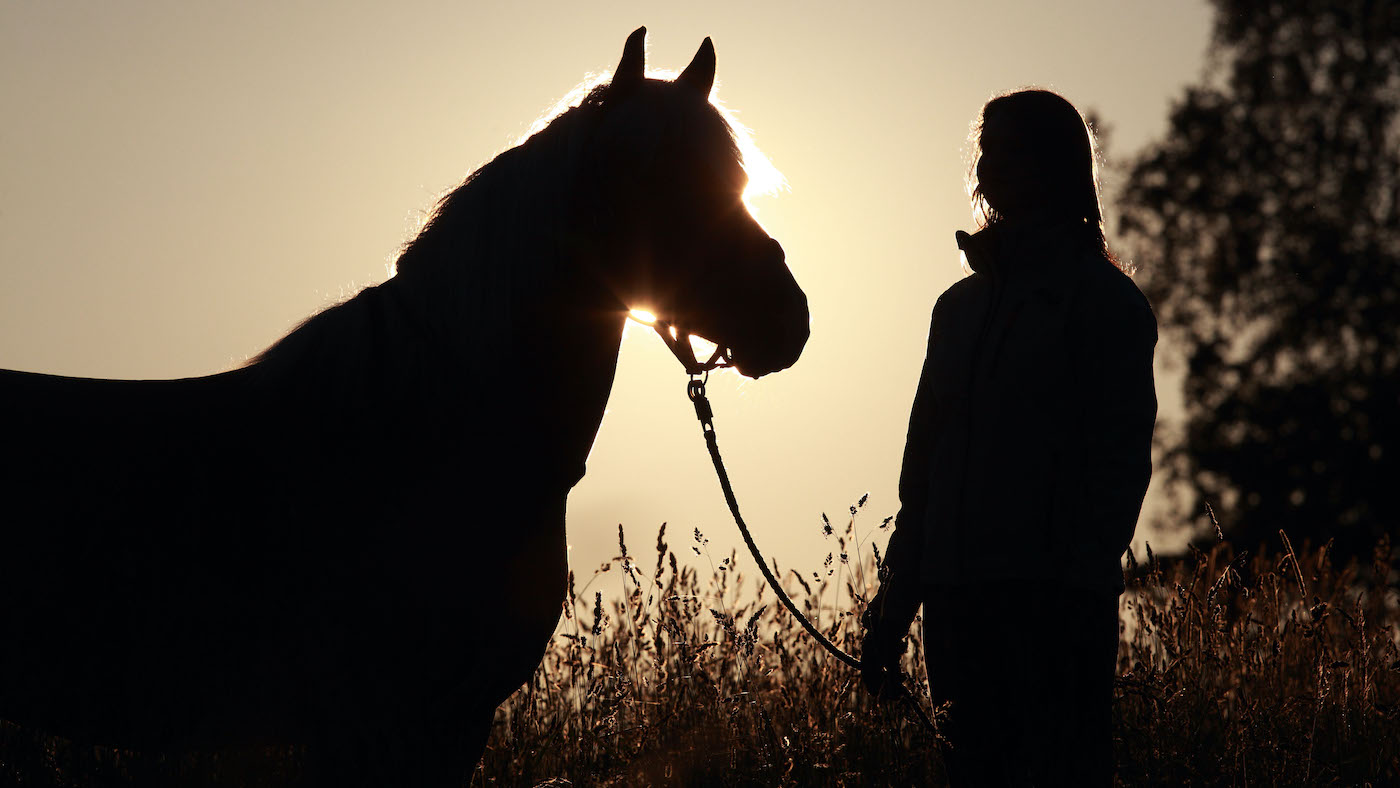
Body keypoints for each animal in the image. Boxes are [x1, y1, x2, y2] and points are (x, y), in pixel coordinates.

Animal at [0, 27, 808, 786]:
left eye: (734, 178)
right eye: (644, 172)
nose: (785, 317)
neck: (419, 430)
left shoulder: (454, 724)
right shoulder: (367, 725)